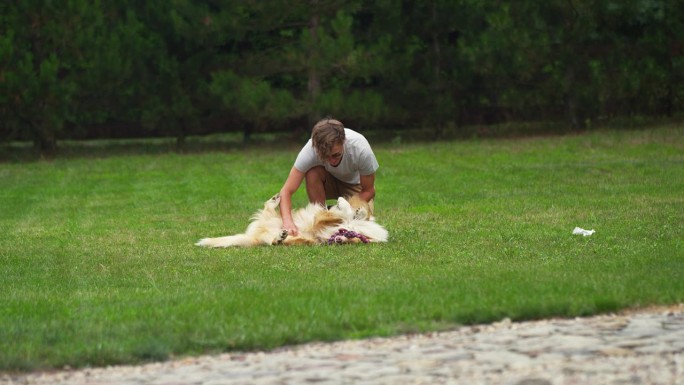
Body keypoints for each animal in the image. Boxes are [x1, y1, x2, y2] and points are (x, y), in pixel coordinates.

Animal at [195, 194, 388, 248]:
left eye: (350, 239)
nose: (339, 240)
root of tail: (253, 236)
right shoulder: (322, 220)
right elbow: (345, 213)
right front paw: (344, 205)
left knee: (273, 241)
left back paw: (280, 237)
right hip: (276, 217)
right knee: (267, 208)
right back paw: (275, 200)